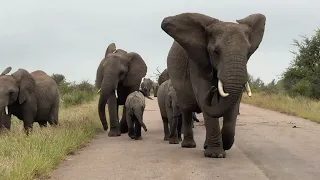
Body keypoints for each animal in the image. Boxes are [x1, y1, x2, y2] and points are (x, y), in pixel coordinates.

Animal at [161, 12, 266, 158]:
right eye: (216, 52)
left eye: (248, 52)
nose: (213, 89)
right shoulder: (197, 61)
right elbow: (205, 94)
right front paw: (216, 155)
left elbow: (233, 103)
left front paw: (224, 145)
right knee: (186, 109)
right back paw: (189, 145)